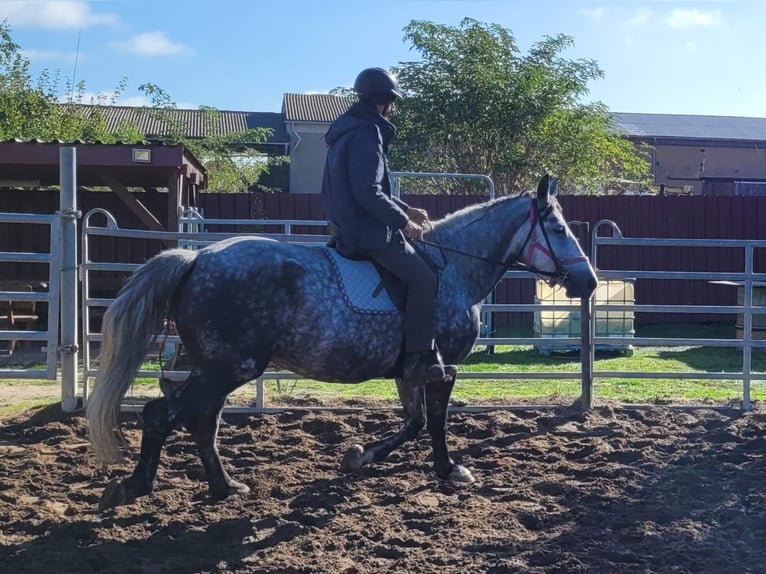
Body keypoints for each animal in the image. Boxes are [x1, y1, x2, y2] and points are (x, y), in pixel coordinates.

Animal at [85, 176, 600, 512]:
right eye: (558, 229)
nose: (589, 282)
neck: (451, 268)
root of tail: (196, 258)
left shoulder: (410, 370)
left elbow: (414, 422)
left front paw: (361, 455)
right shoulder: (442, 368)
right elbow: (435, 422)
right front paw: (449, 469)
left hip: (212, 367)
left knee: (194, 419)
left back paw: (215, 485)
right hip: (229, 368)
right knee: (170, 415)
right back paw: (150, 486)